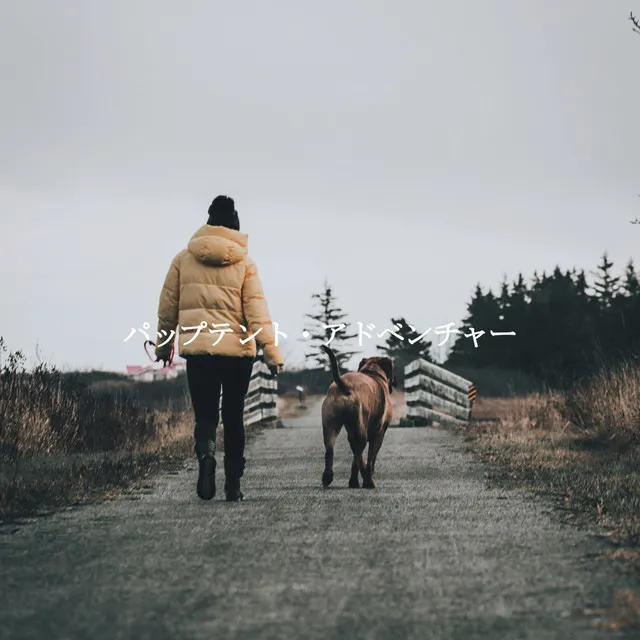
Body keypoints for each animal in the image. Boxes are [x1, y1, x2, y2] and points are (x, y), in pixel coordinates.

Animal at [320, 344, 396, 490]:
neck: (373, 372)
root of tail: (345, 385)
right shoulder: (379, 433)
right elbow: (371, 457)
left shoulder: (351, 433)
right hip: (361, 432)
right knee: (359, 455)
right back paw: (368, 481)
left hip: (330, 426)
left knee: (330, 450)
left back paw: (328, 477)